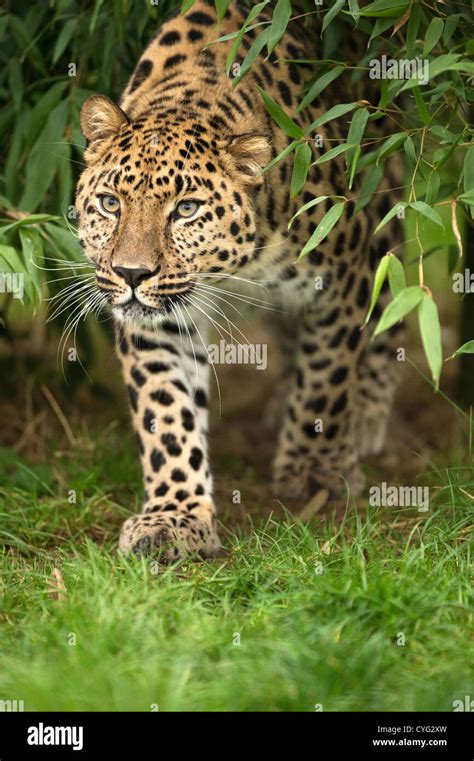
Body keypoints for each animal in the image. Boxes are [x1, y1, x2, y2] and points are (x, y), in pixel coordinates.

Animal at [76, 0, 402, 560]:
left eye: (186, 210)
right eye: (110, 203)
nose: (132, 273)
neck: (232, 269)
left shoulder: (343, 275)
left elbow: (327, 377)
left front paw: (315, 468)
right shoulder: (157, 322)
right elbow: (167, 413)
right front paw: (175, 516)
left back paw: (367, 413)